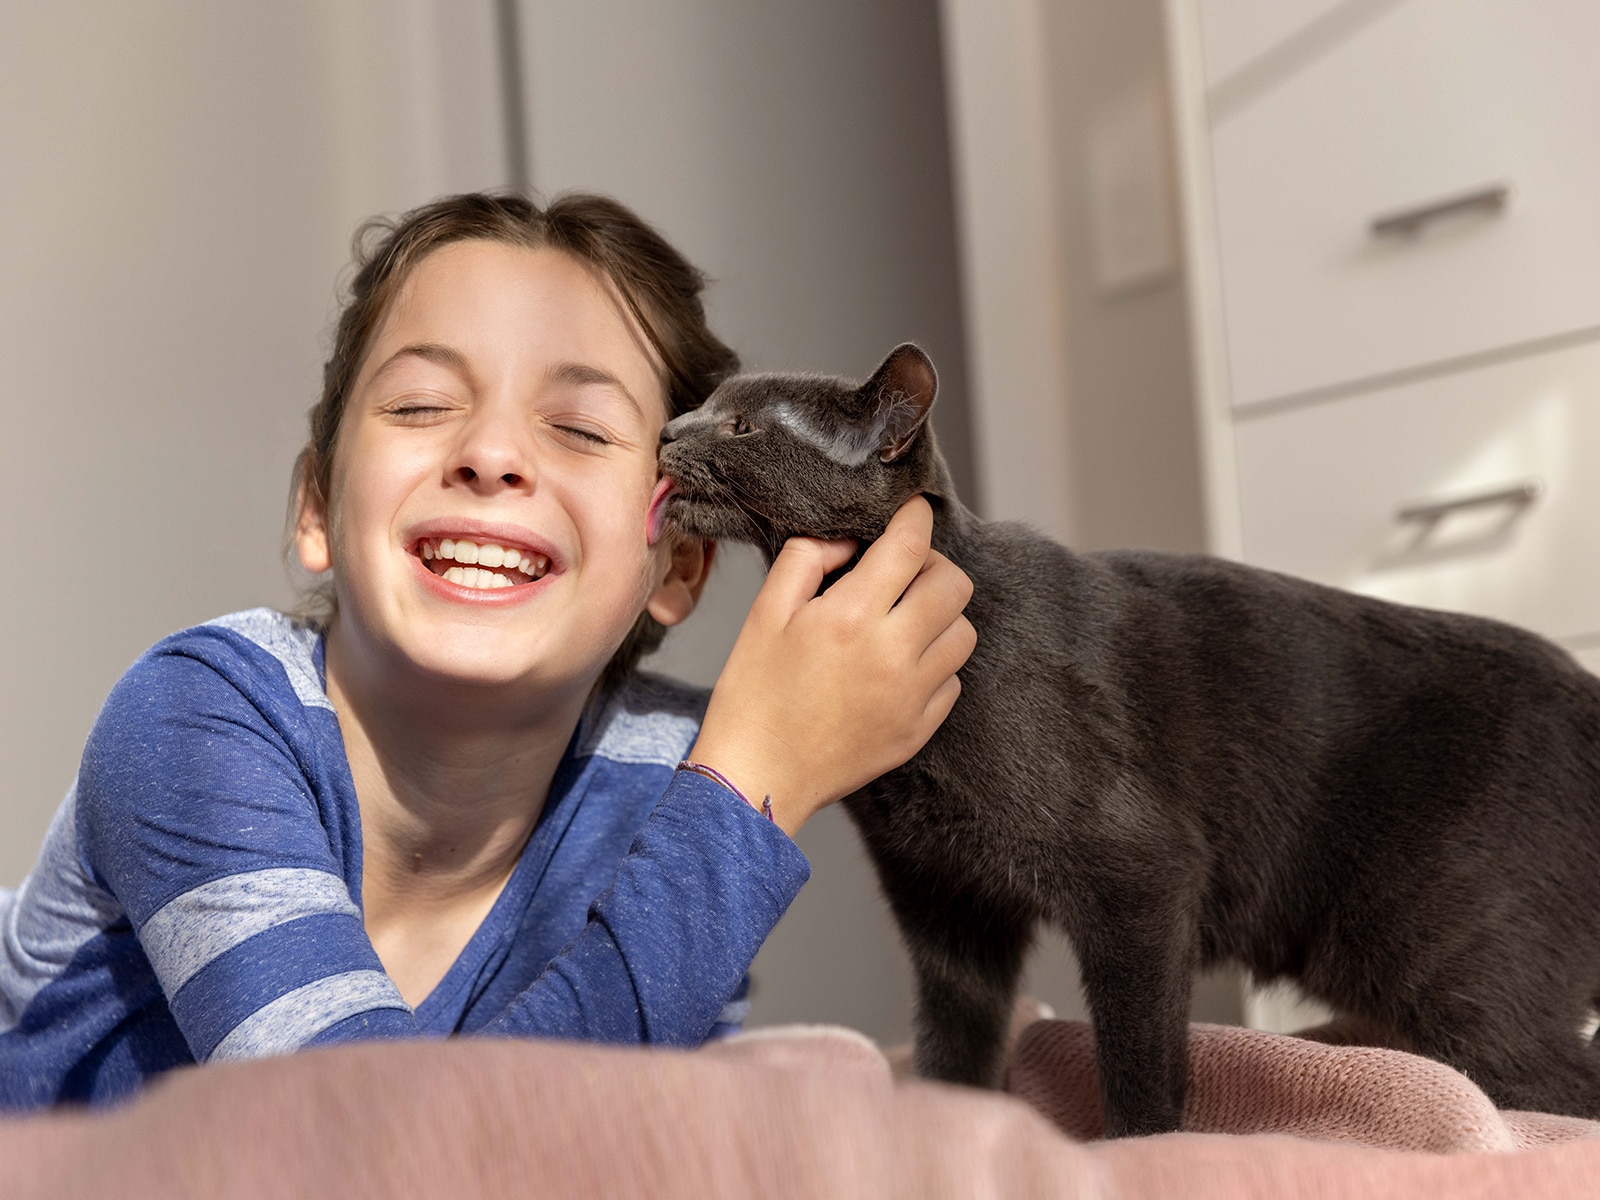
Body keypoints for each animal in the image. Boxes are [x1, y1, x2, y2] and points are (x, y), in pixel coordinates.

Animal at [656, 345, 1600, 1139]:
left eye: (742, 427)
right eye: (702, 407)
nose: (667, 431)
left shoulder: (1138, 872)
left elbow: (1138, 1050)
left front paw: (1139, 1142)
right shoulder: (941, 898)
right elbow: (954, 1042)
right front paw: (949, 1120)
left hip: (1451, 962)